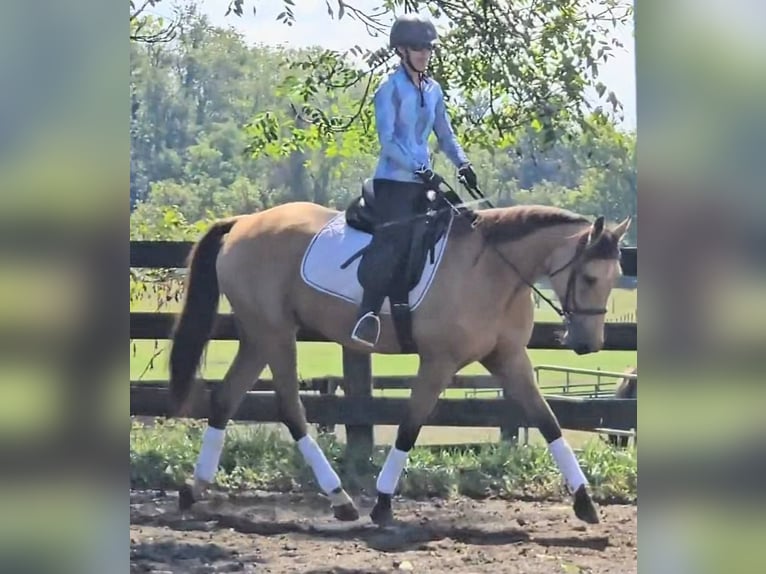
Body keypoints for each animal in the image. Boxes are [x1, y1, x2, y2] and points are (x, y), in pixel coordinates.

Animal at [168, 196, 631, 526]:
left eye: (614, 279)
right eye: (590, 277)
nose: (588, 344)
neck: (492, 272)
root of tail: (243, 222)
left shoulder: (509, 358)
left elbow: (548, 421)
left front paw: (585, 502)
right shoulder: (438, 361)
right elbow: (411, 425)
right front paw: (384, 503)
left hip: (258, 335)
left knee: (226, 400)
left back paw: (195, 489)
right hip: (276, 333)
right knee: (290, 408)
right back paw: (340, 499)